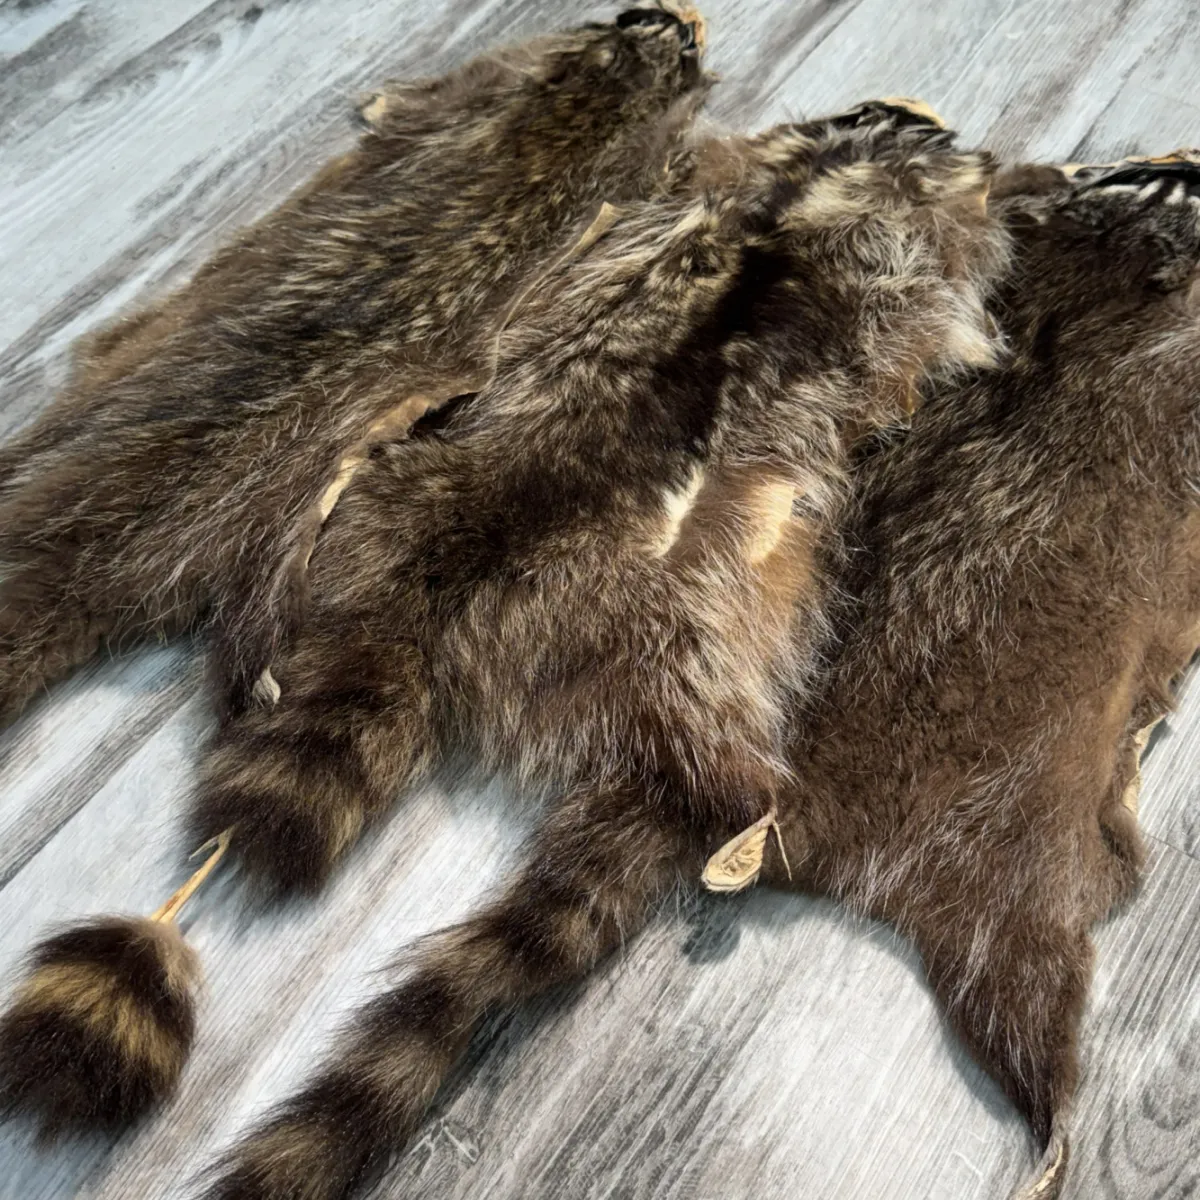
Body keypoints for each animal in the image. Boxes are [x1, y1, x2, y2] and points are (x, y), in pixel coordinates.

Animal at [192, 106, 1004, 1199]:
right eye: (934, 140)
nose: (967, 144)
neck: (827, 184)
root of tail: (433, 580)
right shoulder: (894, 283)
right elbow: (917, 348)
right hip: (684, 650)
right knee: (706, 767)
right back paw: (745, 811)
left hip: (365, 501)